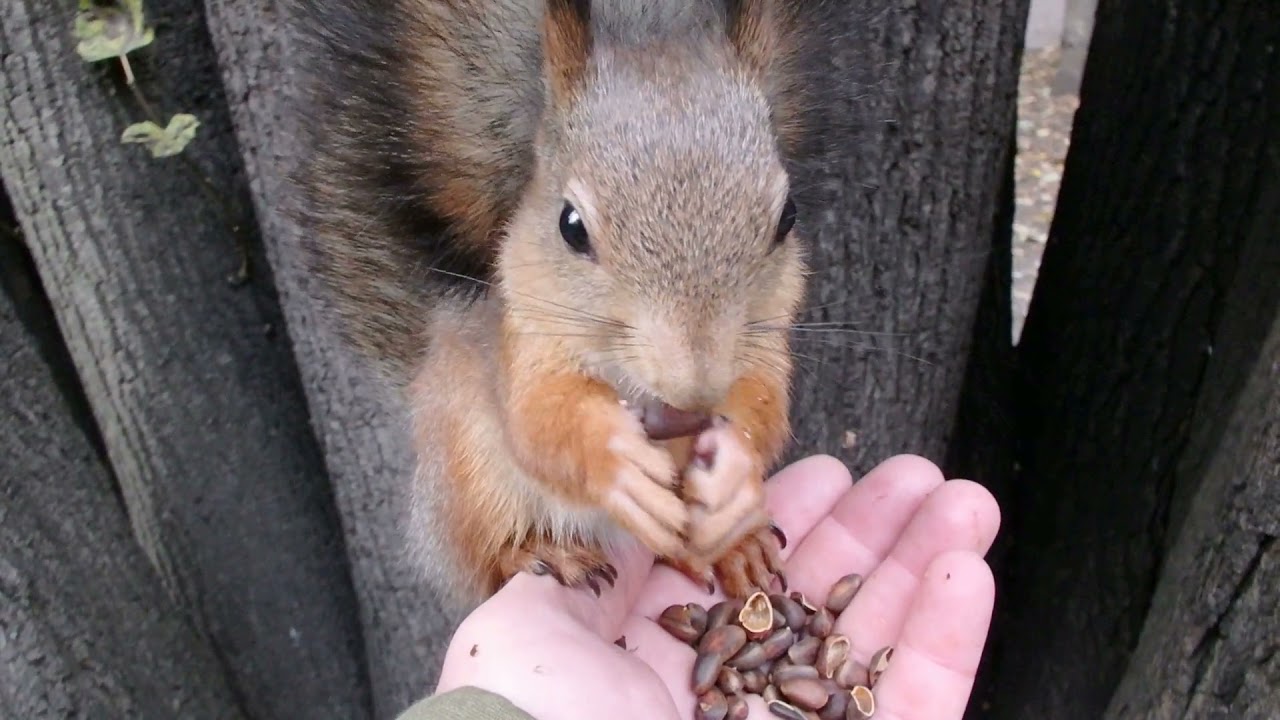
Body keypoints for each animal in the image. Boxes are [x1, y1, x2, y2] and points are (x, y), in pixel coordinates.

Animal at [289, 0, 819, 604]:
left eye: (788, 217)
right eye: (571, 226)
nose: (694, 393)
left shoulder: (765, 336)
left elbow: (764, 404)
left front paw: (735, 469)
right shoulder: (526, 344)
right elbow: (541, 420)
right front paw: (616, 462)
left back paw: (734, 548)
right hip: (473, 473)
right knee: (484, 558)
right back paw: (542, 551)